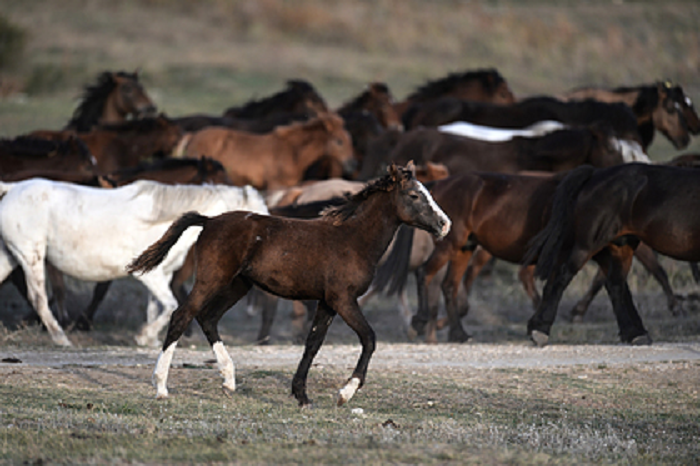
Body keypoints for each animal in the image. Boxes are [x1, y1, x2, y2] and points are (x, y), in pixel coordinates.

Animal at [0, 178, 268, 346]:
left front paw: (148, 340)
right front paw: (144, 337)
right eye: (256, 217)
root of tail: (11, 189)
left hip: (11, 255)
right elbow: (170, 304)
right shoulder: (152, 277)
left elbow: (155, 308)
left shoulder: (159, 276)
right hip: (30, 256)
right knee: (39, 299)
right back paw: (60, 338)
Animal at [128, 162, 452, 406]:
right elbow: (369, 338)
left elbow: (313, 343)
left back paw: (229, 381)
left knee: (208, 317)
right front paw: (345, 393)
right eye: (414, 195)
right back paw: (161, 387)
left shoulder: (326, 302)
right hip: (212, 279)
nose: (444, 224)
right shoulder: (344, 299)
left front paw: (302, 395)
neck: (353, 239)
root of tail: (209, 221)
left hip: (238, 286)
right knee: (182, 315)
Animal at [524, 163, 700, 346]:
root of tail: (596, 173)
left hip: (622, 246)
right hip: (587, 245)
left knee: (615, 284)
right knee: (562, 276)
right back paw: (540, 330)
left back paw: (635, 334)